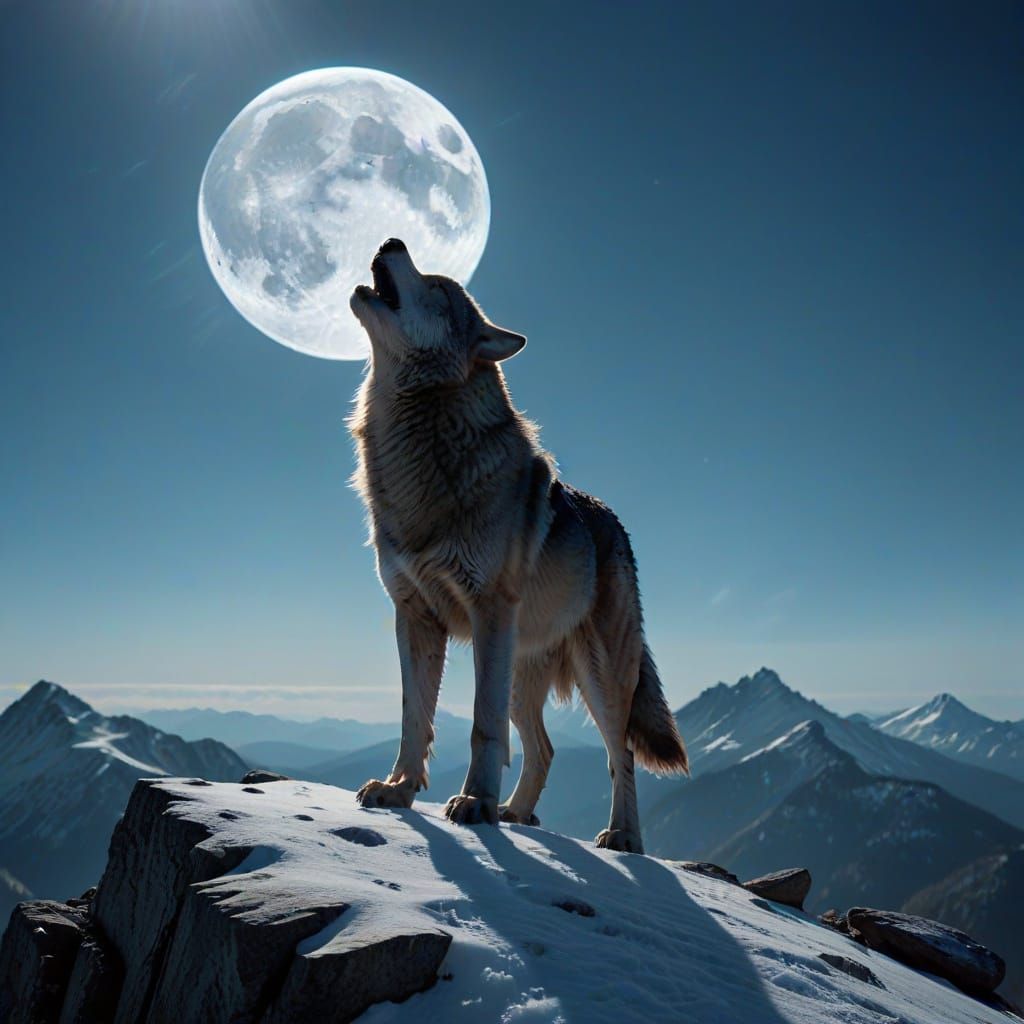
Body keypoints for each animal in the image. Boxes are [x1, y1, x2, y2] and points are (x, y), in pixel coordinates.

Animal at [348, 238, 688, 853]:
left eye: (437, 287)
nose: (391, 241)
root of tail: (618, 527)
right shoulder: (413, 616)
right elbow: (415, 717)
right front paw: (399, 789)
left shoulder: (487, 611)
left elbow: (480, 728)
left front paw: (475, 803)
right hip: (520, 670)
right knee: (546, 749)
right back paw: (517, 812)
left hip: (595, 675)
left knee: (620, 752)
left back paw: (622, 836)